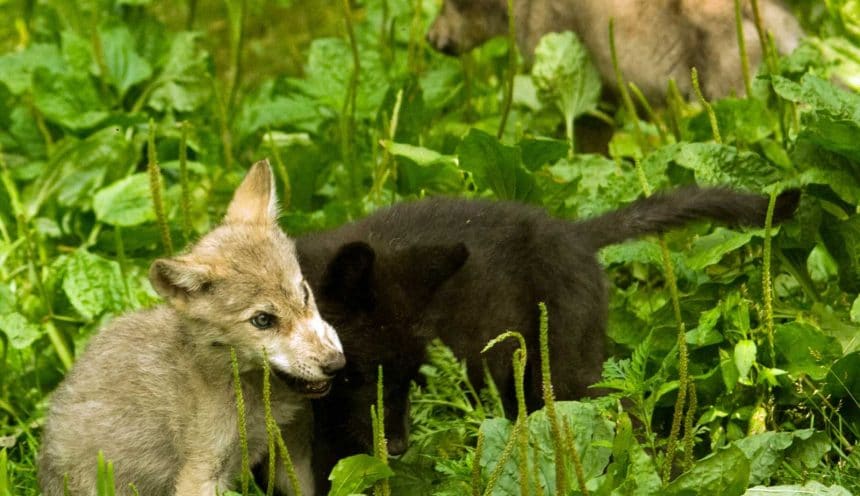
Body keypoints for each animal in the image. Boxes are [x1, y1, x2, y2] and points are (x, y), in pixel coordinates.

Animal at [295, 186, 799, 490]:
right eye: (355, 375)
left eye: (410, 377)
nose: (396, 448)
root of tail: (574, 232)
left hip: (568, 373)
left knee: (628, 424)